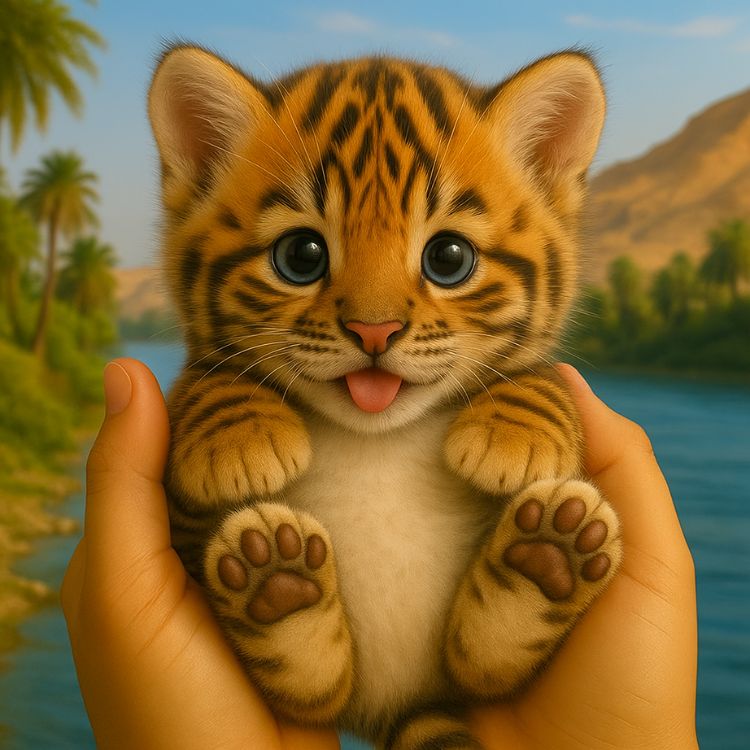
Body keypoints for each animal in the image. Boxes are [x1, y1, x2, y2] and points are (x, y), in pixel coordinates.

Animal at [147, 44, 623, 749]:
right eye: (301, 255)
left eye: (448, 258)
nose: (375, 331)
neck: (379, 439)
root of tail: (391, 703)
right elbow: (205, 377)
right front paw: (239, 438)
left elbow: (542, 374)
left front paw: (516, 434)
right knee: (316, 686)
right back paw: (277, 580)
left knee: (481, 663)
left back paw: (550, 554)